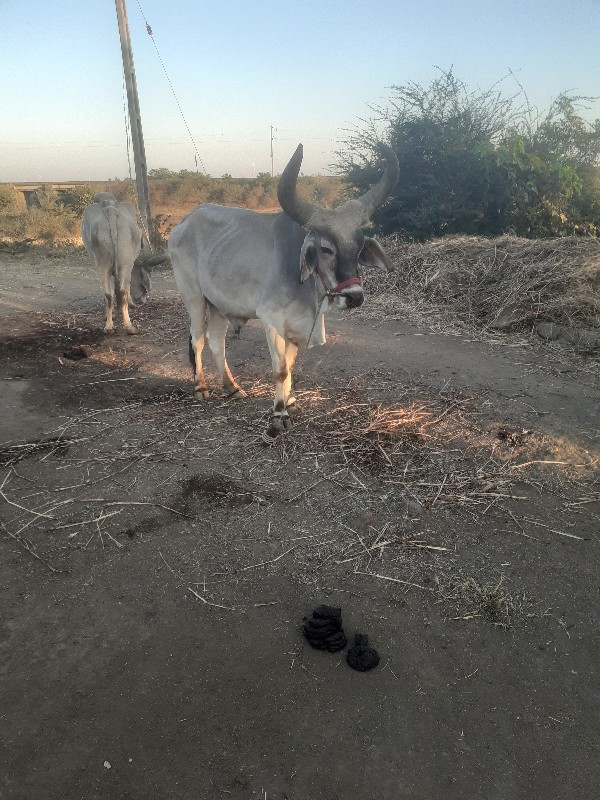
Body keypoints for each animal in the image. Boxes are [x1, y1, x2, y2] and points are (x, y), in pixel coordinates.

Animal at [81, 194, 166, 334]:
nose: (144, 299)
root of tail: (110, 210)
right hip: (125, 263)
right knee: (123, 291)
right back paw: (129, 326)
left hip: (103, 264)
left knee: (108, 294)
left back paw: (109, 327)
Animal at [169, 145, 398, 444]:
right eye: (326, 248)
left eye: (359, 247)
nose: (354, 296)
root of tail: (182, 224)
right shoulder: (272, 320)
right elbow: (280, 370)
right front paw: (278, 416)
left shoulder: (297, 326)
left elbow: (290, 365)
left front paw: (290, 402)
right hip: (194, 297)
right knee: (196, 340)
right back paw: (200, 388)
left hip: (219, 304)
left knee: (216, 341)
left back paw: (232, 387)